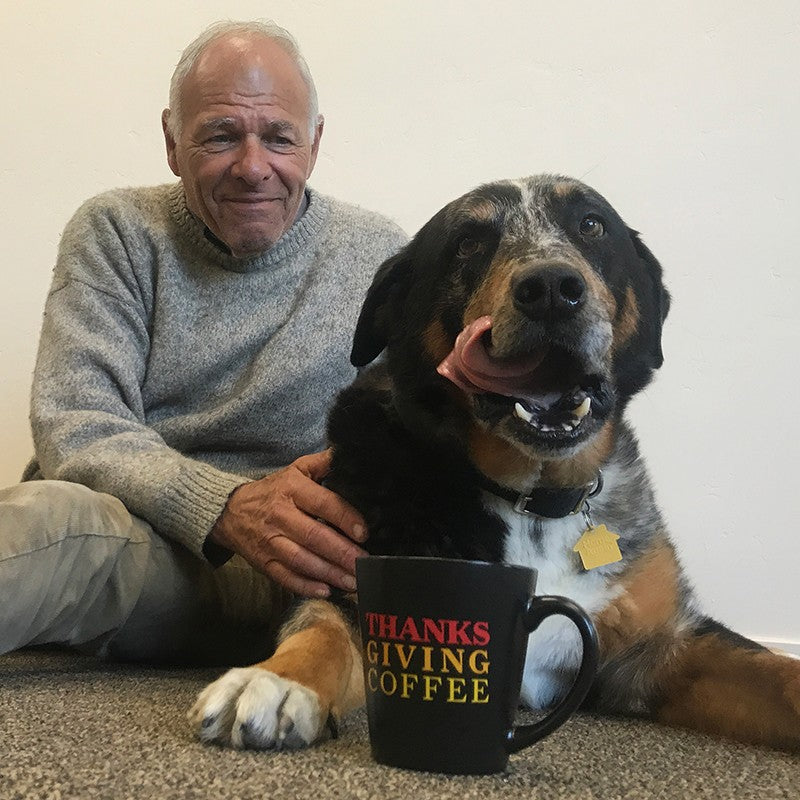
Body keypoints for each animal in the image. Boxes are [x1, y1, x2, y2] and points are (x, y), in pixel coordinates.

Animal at [191, 177, 800, 756]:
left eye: (592, 225)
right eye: (467, 243)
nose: (552, 289)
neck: (534, 499)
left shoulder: (664, 645)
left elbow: (773, 673)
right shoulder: (352, 581)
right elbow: (324, 632)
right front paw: (274, 681)